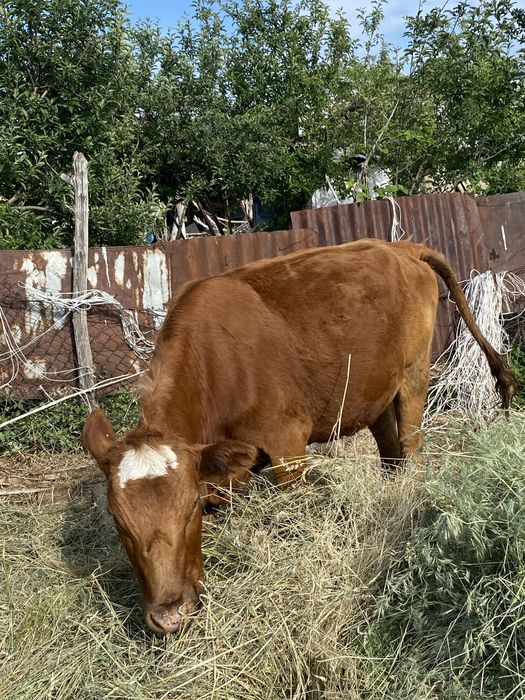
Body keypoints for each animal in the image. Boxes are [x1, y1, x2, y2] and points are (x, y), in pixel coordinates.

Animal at [82, 238, 516, 634]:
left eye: (189, 508)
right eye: (118, 521)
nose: (168, 616)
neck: (216, 367)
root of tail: (401, 247)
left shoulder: (287, 443)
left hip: (414, 372)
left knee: (412, 447)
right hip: (374, 388)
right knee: (391, 452)